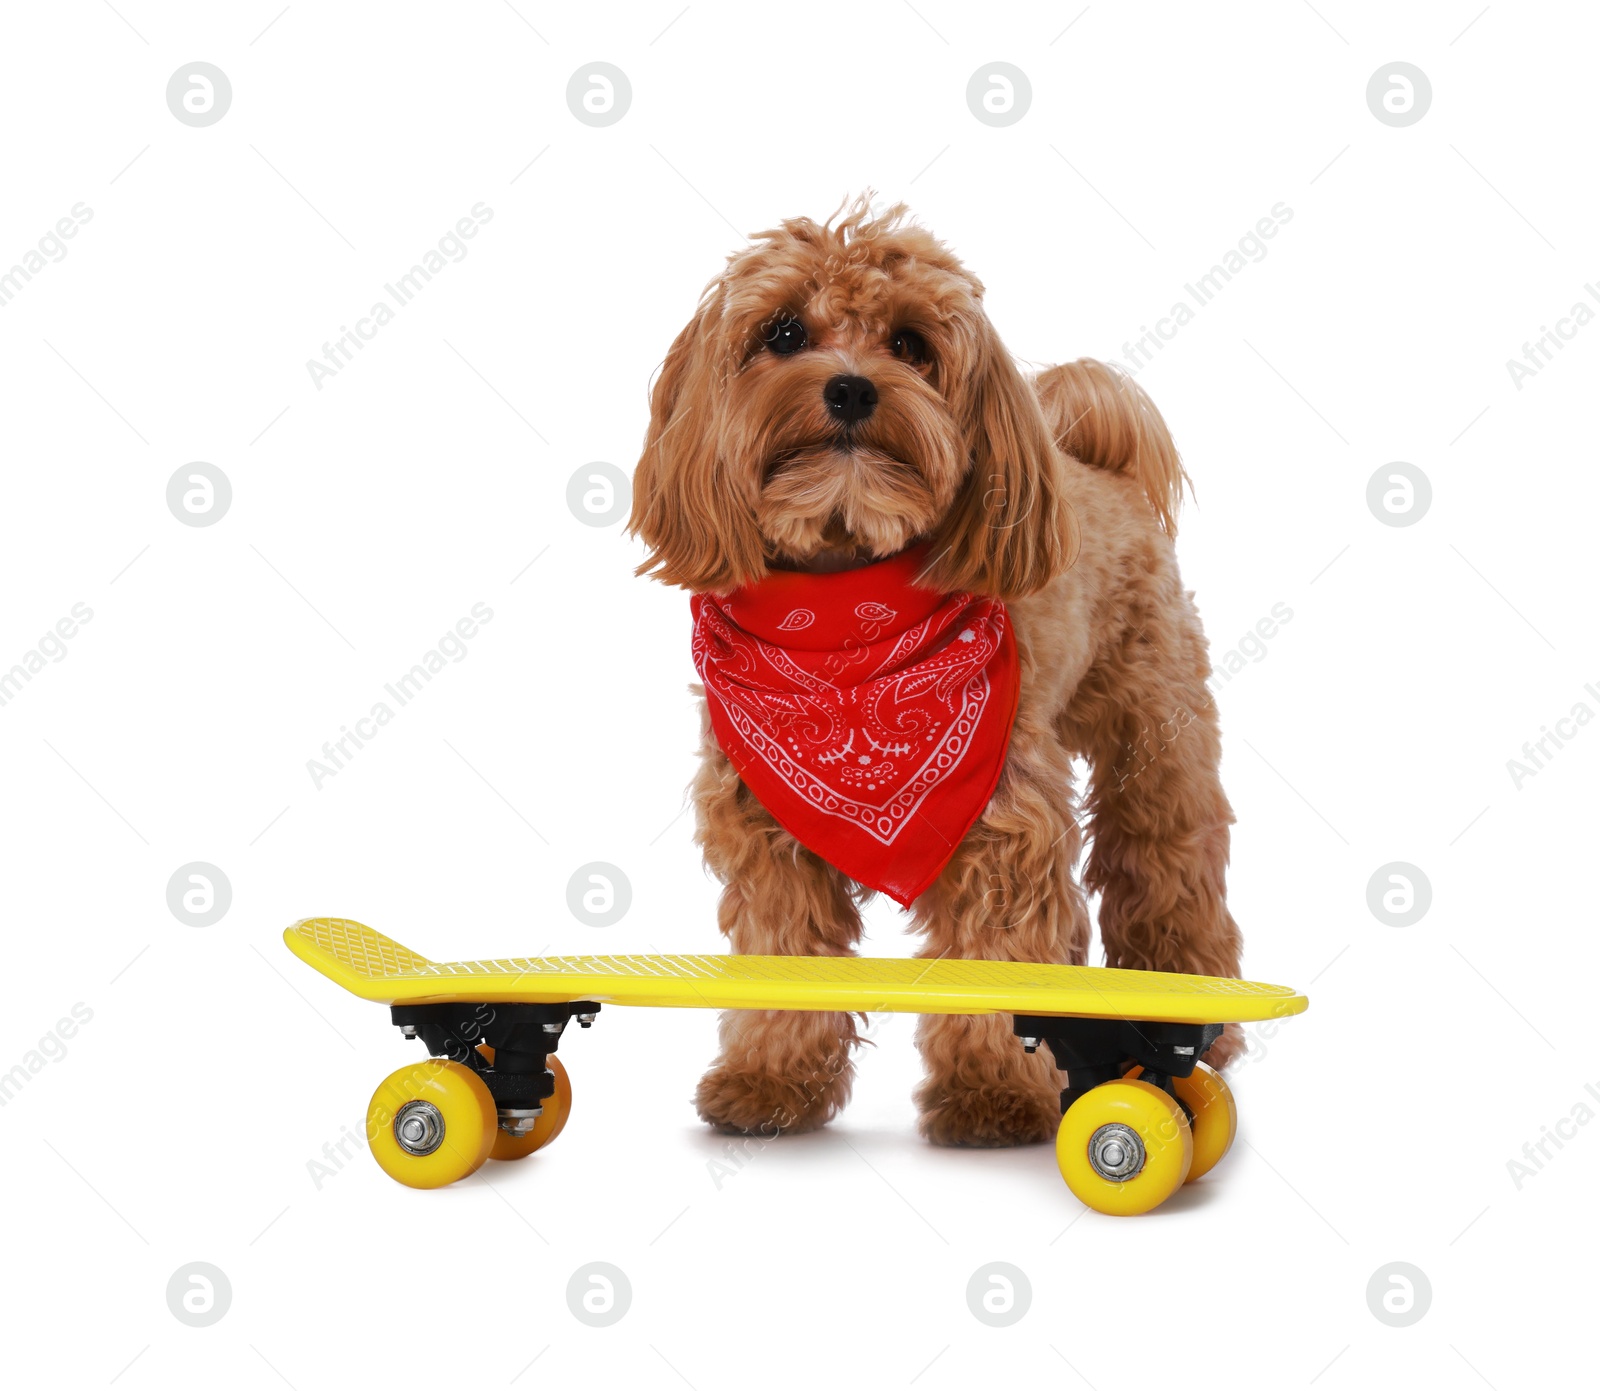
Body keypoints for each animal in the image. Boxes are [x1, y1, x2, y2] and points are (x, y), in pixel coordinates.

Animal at [630, 200, 1241, 1146]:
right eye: (782, 332)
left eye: (911, 344)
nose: (851, 388)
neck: (845, 620)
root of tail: (1094, 462)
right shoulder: (767, 832)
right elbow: (785, 952)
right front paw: (770, 1081)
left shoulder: (1001, 828)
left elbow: (996, 957)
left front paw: (994, 1095)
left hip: (1157, 736)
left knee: (1167, 861)